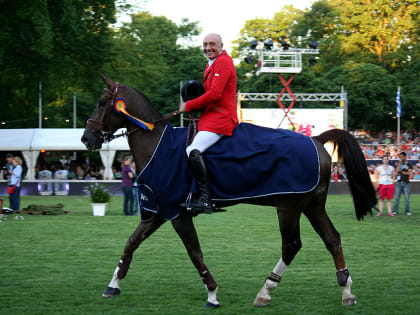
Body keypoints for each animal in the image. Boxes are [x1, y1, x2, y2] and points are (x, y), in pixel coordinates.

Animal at [82, 76, 378, 308]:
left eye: (102, 102)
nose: (87, 138)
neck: (157, 144)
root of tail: (315, 139)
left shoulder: (178, 214)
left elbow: (195, 253)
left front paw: (212, 294)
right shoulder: (158, 211)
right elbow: (131, 243)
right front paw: (113, 285)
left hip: (289, 206)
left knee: (292, 245)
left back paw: (266, 290)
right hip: (312, 205)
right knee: (332, 238)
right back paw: (346, 290)